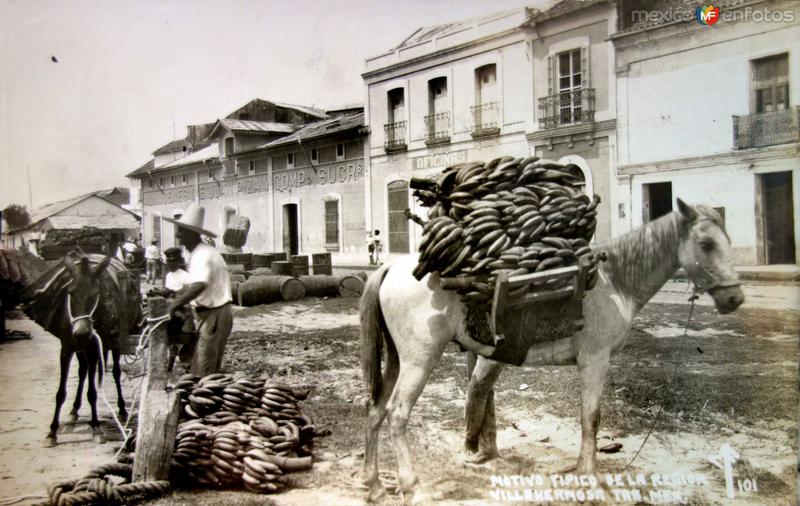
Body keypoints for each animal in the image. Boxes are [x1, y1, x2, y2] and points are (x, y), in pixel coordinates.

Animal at [26, 251, 142, 444]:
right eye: (70, 293)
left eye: (96, 293)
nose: (81, 332)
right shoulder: (66, 348)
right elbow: (61, 392)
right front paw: (52, 431)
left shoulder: (93, 349)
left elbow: (92, 392)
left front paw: (96, 427)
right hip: (82, 350)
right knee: (83, 371)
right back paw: (74, 409)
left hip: (115, 343)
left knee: (115, 372)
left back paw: (122, 409)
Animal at [360, 200, 740, 504]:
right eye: (705, 244)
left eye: (727, 242)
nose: (735, 298)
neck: (613, 281)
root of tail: (391, 267)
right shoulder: (595, 362)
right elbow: (591, 419)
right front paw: (589, 477)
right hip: (419, 359)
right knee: (397, 414)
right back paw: (411, 486)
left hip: (396, 360)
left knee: (376, 411)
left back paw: (375, 484)